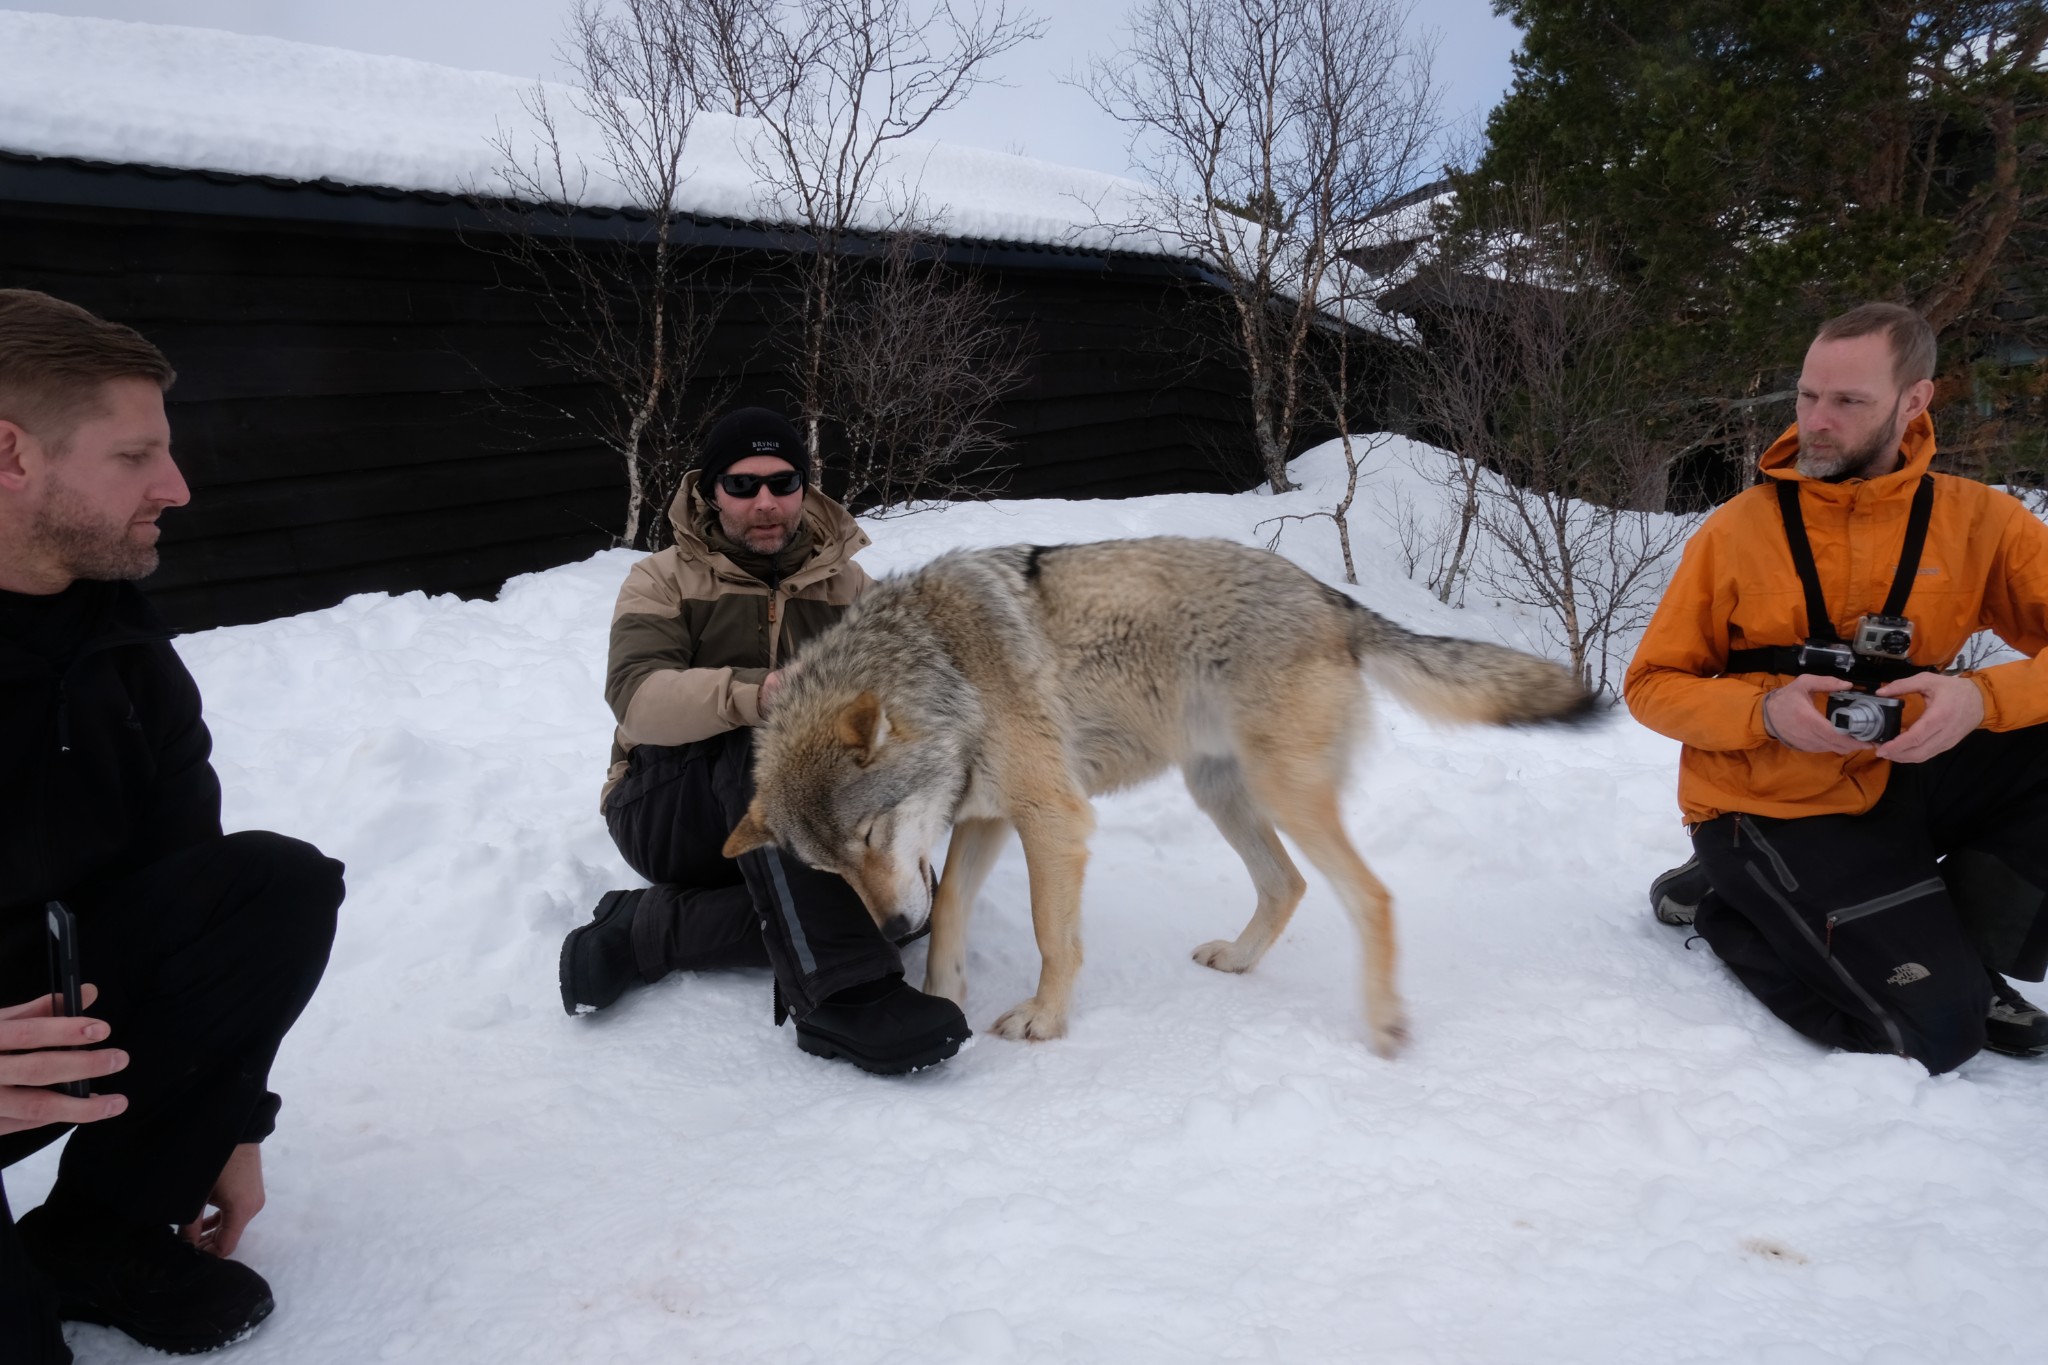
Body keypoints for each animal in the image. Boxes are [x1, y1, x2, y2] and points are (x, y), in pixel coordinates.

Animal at [724, 536, 1597, 1055]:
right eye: (832, 870)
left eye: (871, 835)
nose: (890, 927)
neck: (946, 668)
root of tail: (1330, 598)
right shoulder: (986, 818)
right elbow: (950, 918)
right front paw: (941, 1000)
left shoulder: (1053, 818)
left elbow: (1052, 935)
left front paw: (1044, 1019)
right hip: (1221, 794)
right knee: (1288, 884)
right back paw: (1239, 960)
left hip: (1282, 795)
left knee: (1371, 896)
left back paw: (1383, 1022)